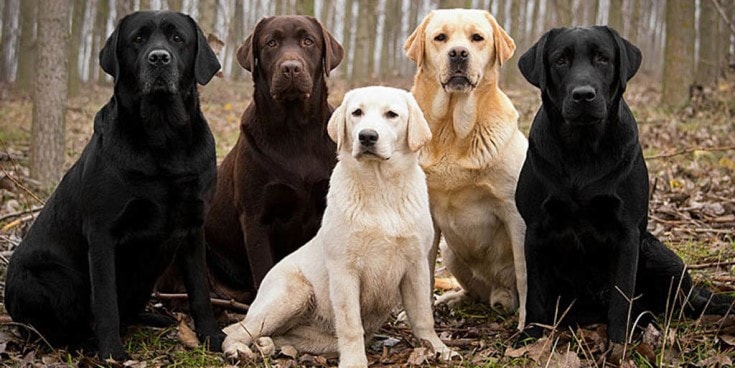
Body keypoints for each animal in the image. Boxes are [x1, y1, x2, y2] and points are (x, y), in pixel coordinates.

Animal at [4, 10, 224, 360]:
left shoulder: (193, 225)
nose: (158, 58)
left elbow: (200, 291)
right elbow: (106, 300)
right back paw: (81, 342)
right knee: (52, 327)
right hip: (49, 280)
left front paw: (212, 337)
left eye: (178, 39)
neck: (162, 137)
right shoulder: (102, 232)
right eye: (138, 39)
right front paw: (112, 354)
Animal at [204, 15, 344, 302]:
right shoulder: (256, 218)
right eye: (271, 43)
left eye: (308, 41)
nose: (290, 68)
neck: (295, 133)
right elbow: (264, 270)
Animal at [221, 87, 458, 368]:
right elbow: (350, 324)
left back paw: (266, 346)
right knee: (236, 330)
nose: (367, 136)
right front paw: (354, 361)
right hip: (294, 292)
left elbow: (423, 316)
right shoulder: (345, 270)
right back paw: (238, 351)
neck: (380, 190)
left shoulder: (416, 265)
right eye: (357, 112)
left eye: (392, 114)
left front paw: (438, 348)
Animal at [402, 7, 528, 324]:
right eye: (440, 37)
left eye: (477, 38)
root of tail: (500, 292)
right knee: (475, 292)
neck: (452, 128)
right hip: (450, 252)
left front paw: (527, 322)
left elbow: (525, 275)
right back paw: (455, 298)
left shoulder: (515, 213)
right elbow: (424, 275)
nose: (458, 53)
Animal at [516, 27, 735, 346]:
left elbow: (621, 298)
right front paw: (529, 338)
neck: (583, 149)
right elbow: (534, 294)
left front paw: (618, 345)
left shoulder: (628, 233)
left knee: (681, 304)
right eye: (560, 61)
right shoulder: (535, 231)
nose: (583, 95)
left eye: (603, 59)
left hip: (660, 256)